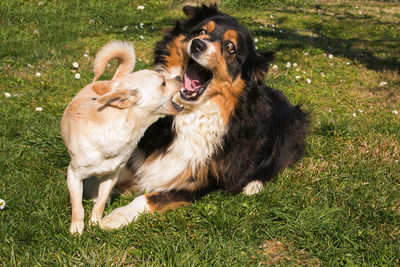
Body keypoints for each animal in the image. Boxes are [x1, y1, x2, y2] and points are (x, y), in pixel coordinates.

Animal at [60, 40, 183, 236]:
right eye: (163, 83)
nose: (179, 77)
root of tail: (113, 82)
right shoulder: (73, 175)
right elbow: (77, 205)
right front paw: (77, 229)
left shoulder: (111, 176)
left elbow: (101, 203)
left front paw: (95, 223)